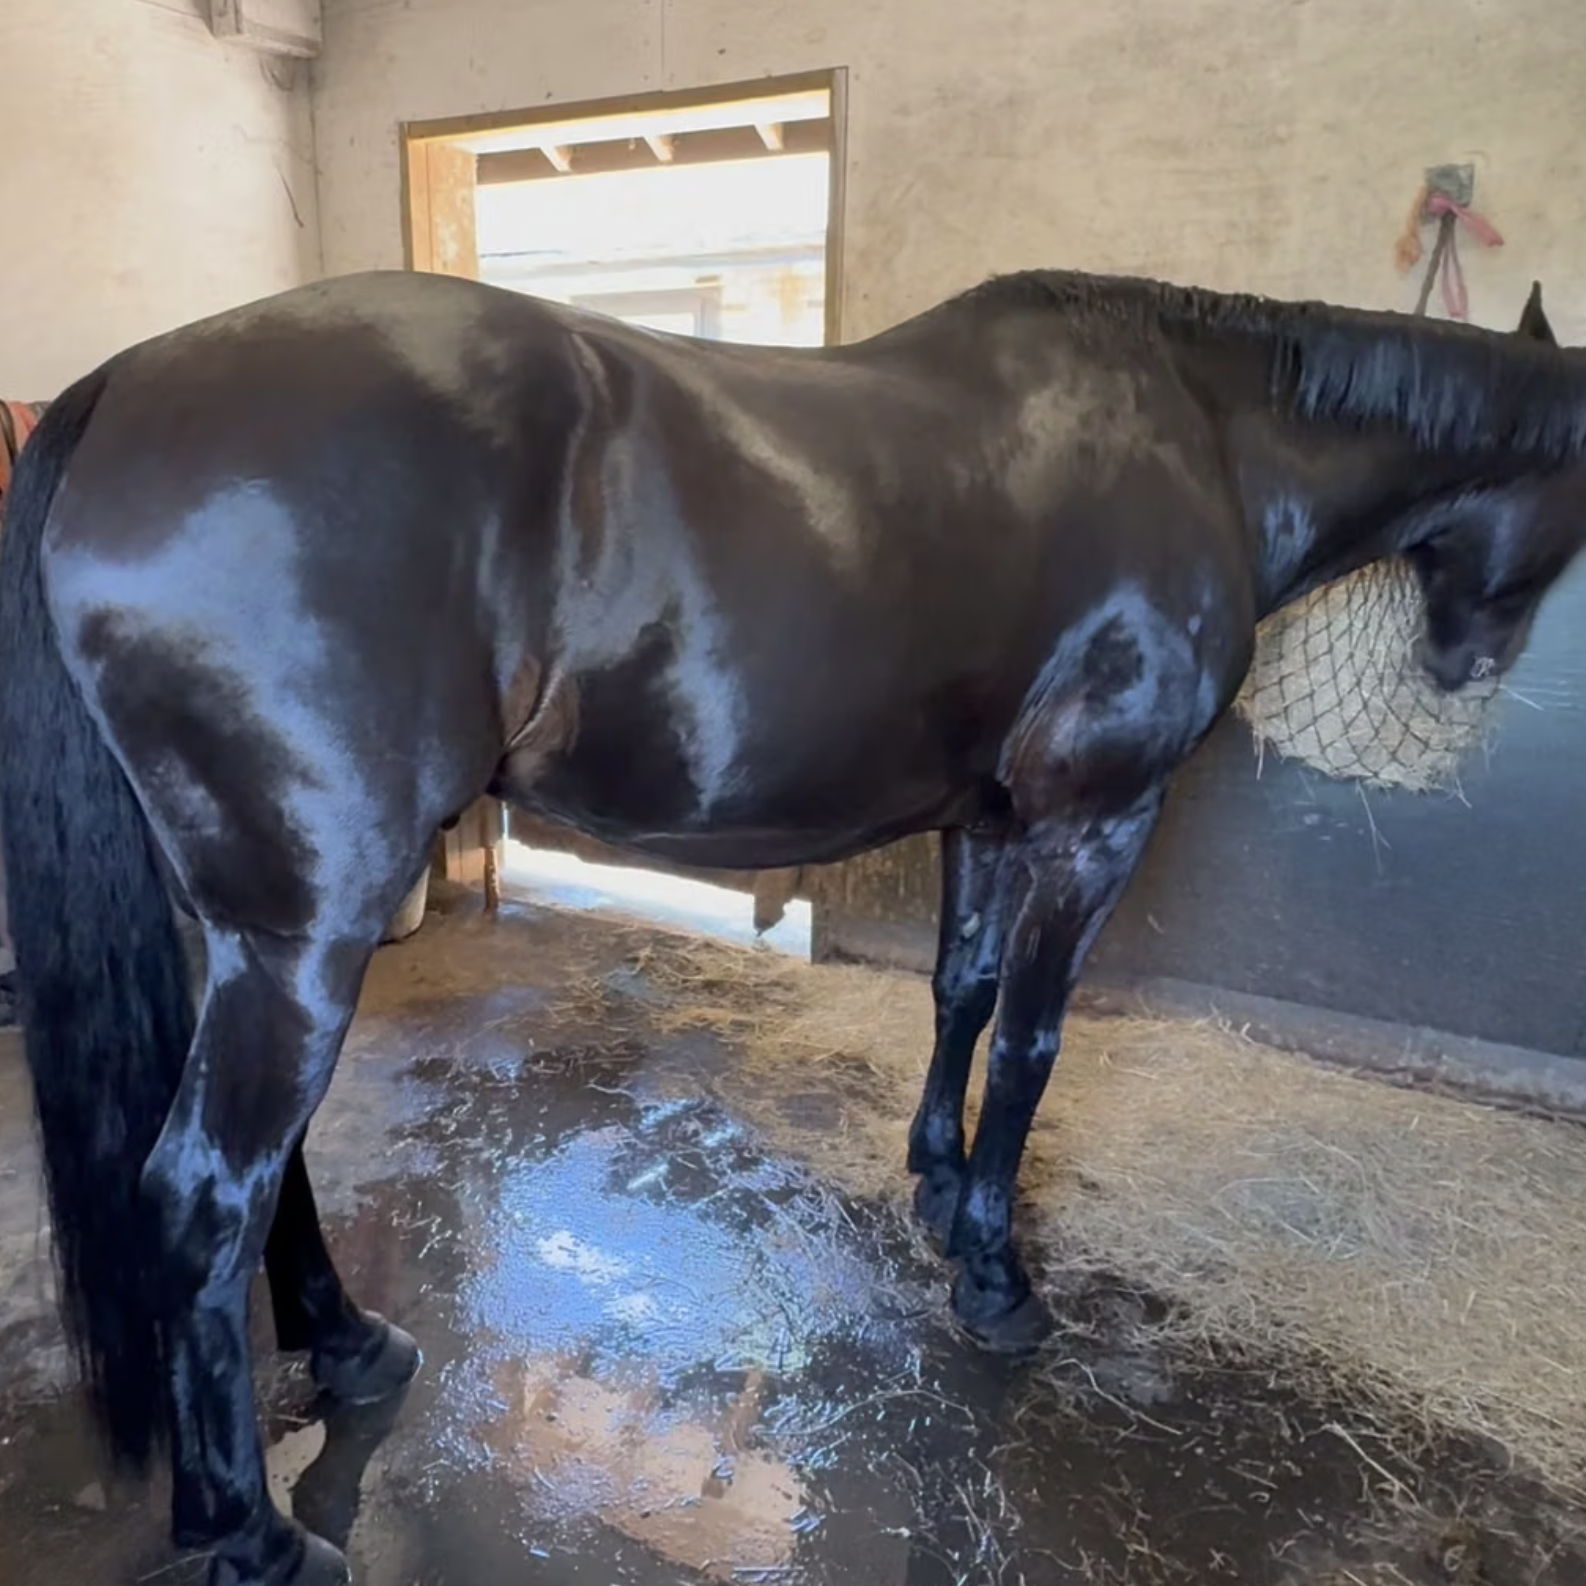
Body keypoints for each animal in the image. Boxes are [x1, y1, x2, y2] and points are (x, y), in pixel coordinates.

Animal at [2, 267, 1582, 1586]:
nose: (1467, 662)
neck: (1194, 430)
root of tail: (123, 386)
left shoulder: (985, 817)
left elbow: (962, 990)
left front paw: (935, 1187)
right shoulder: (1092, 822)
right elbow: (1034, 1042)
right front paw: (996, 1276)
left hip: (244, 928)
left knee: (271, 1171)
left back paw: (346, 1346)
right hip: (305, 931)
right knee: (205, 1186)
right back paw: (247, 1533)